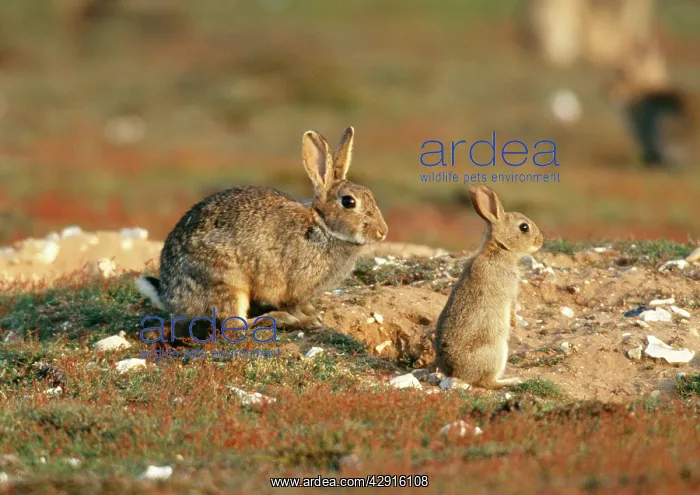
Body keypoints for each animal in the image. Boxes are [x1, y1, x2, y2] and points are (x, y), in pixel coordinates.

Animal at [136, 126, 388, 333]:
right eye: (349, 202)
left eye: (370, 194)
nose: (383, 232)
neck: (322, 227)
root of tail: (171, 296)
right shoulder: (293, 285)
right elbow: (293, 304)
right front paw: (308, 320)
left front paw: (314, 314)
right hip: (226, 282)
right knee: (234, 324)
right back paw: (277, 319)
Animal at [434, 185, 543, 389]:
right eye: (524, 227)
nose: (540, 240)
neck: (499, 249)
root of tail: (456, 373)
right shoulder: (510, 289)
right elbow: (512, 306)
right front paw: (514, 322)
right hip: (497, 351)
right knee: (487, 382)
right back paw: (512, 380)